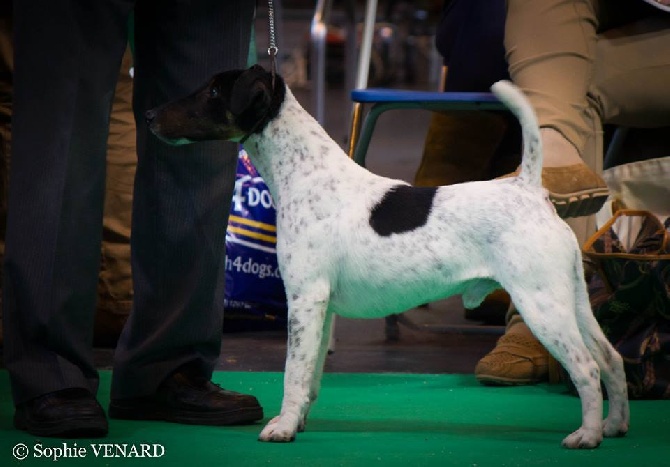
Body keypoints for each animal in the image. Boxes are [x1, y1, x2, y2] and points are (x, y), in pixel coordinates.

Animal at [146, 64, 632, 448]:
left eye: (213, 92)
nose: (148, 115)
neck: (306, 174)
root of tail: (529, 189)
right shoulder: (321, 310)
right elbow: (311, 376)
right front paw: (297, 421)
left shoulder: (304, 301)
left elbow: (292, 372)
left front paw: (281, 428)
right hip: (572, 301)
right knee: (611, 359)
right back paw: (615, 427)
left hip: (542, 305)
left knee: (587, 368)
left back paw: (587, 436)